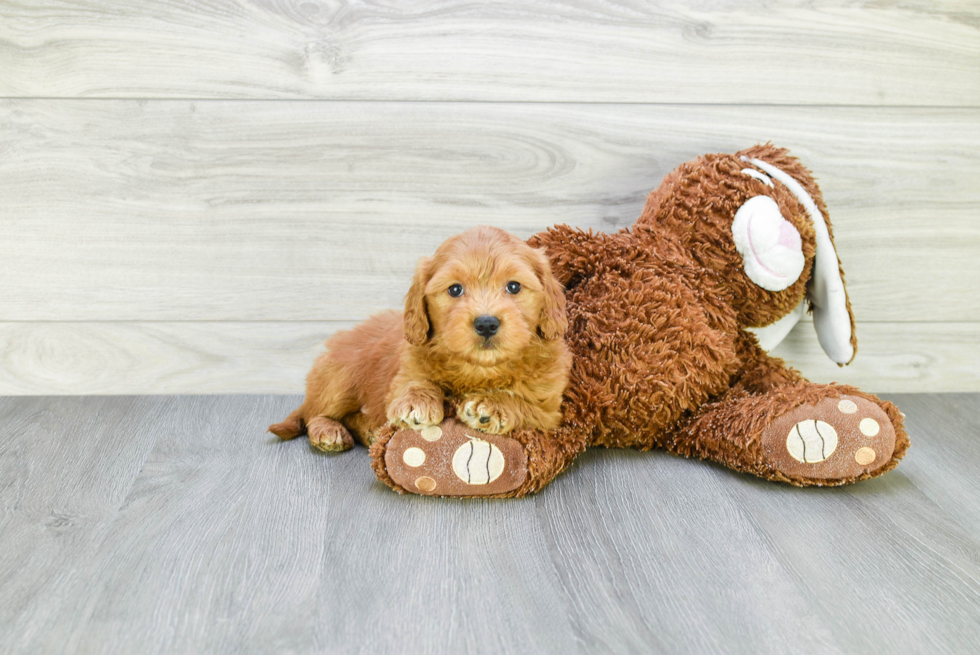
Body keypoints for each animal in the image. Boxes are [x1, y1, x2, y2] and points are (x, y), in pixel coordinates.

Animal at [268, 226, 576, 452]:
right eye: (455, 289)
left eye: (513, 286)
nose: (486, 323)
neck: (478, 369)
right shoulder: (404, 372)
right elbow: (416, 382)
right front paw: (416, 402)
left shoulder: (550, 407)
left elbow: (526, 404)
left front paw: (494, 405)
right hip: (340, 376)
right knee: (315, 413)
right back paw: (329, 430)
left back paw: (368, 429)